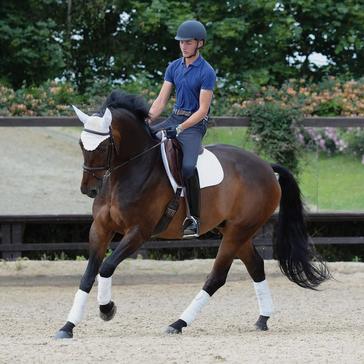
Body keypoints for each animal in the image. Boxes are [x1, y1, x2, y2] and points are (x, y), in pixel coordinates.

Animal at [54, 90, 330, 338]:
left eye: (103, 147)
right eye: (81, 144)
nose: (89, 189)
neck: (128, 172)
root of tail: (265, 166)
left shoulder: (139, 232)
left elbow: (107, 267)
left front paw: (107, 309)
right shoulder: (101, 228)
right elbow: (88, 274)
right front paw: (68, 326)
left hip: (238, 231)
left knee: (217, 277)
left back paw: (178, 323)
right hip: (233, 230)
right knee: (255, 265)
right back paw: (262, 319)